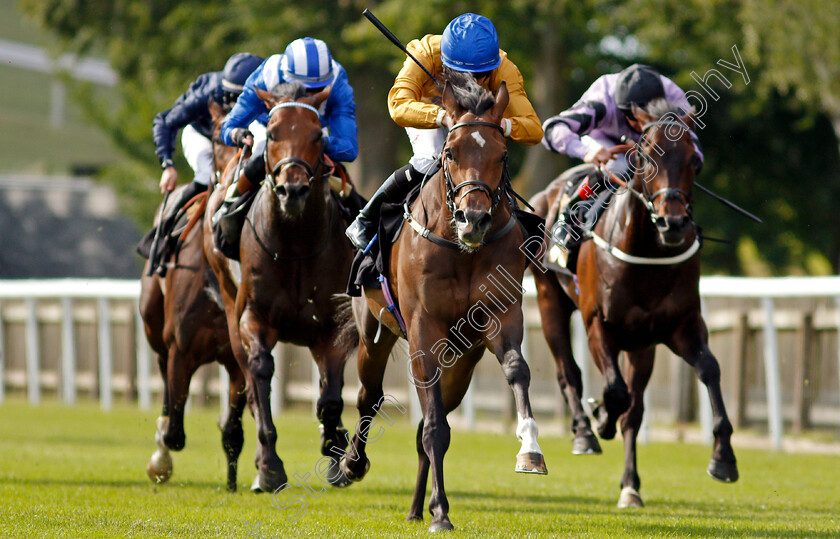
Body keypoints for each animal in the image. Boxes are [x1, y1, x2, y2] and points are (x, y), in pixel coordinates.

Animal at [138, 99, 246, 492]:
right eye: (216, 137)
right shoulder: (180, 351)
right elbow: (174, 433)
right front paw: (159, 462)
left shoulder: (236, 359)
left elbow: (233, 431)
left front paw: (235, 482)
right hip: (155, 331)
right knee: (167, 399)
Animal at [207, 83, 360, 494]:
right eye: (273, 133)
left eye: (318, 134)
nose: (293, 190)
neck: (295, 241)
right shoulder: (253, 316)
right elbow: (261, 373)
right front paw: (270, 467)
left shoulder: (333, 327)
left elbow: (330, 398)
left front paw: (336, 448)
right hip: (230, 307)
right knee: (247, 379)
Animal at [342, 76, 548, 536]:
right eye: (451, 151)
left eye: (502, 154)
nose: (474, 219)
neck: (462, 249)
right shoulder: (423, 329)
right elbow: (434, 427)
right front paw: (442, 514)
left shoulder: (501, 316)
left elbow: (517, 370)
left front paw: (530, 450)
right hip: (374, 334)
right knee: (369, 396)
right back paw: (352, 465)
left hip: (462, 361)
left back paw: (419, 507)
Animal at [532, 99, 736, 508]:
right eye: (646, 155)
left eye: (695, 161)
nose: (673, 224)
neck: (647, 256)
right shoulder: (599, 323)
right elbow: (614, 391)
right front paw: (600, 418)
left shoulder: (679, 327)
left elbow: (710, 370)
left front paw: (723, 458)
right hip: (550, 299)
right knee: (568, 371)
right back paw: (585, 431)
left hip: (641, 345)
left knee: (635, 409)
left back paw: (630, 485)